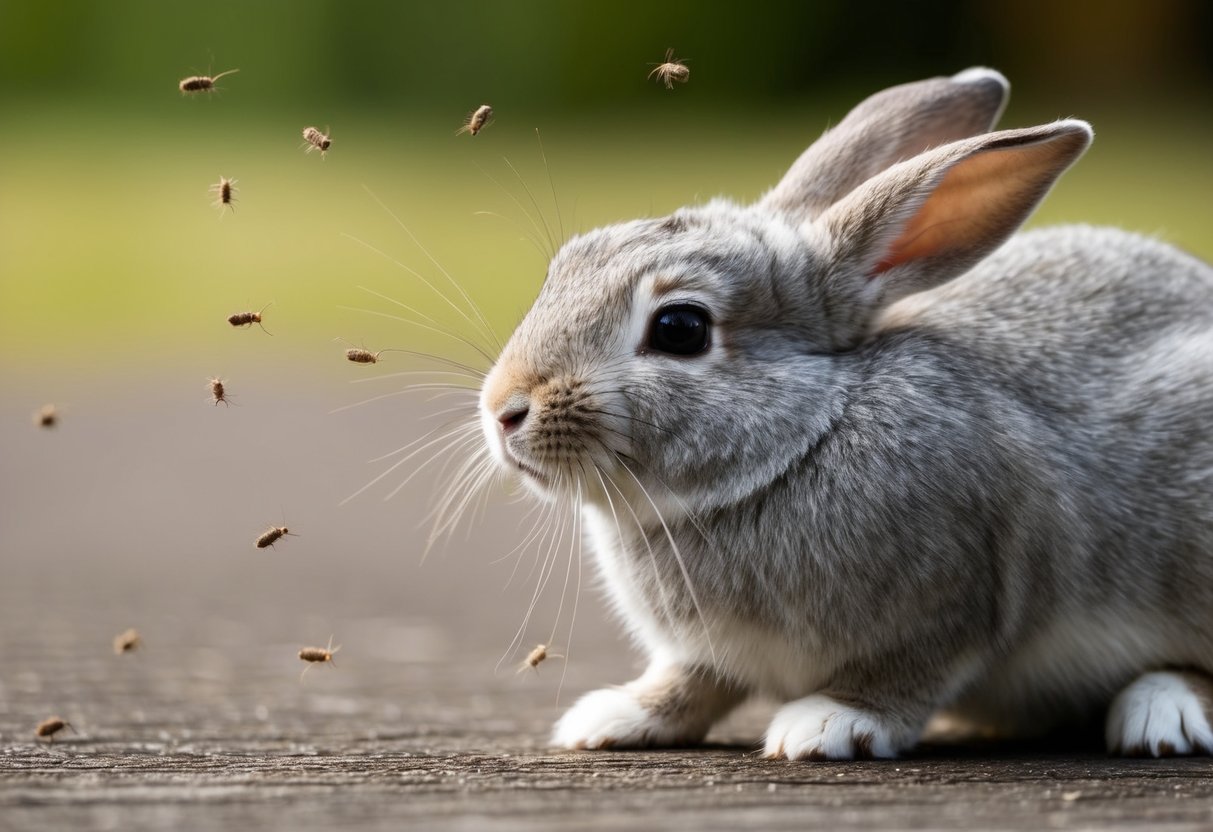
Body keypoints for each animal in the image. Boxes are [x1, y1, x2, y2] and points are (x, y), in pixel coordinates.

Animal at [473, 70, 1213, 761]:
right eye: (563, 268)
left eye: (680, 328)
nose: (504, 410)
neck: (800, 441)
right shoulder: (707, 653)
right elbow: (692, 684)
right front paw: (613, 718)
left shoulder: (953, 600)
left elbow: (903, 676)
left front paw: (827, 724)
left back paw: (1162, 714)